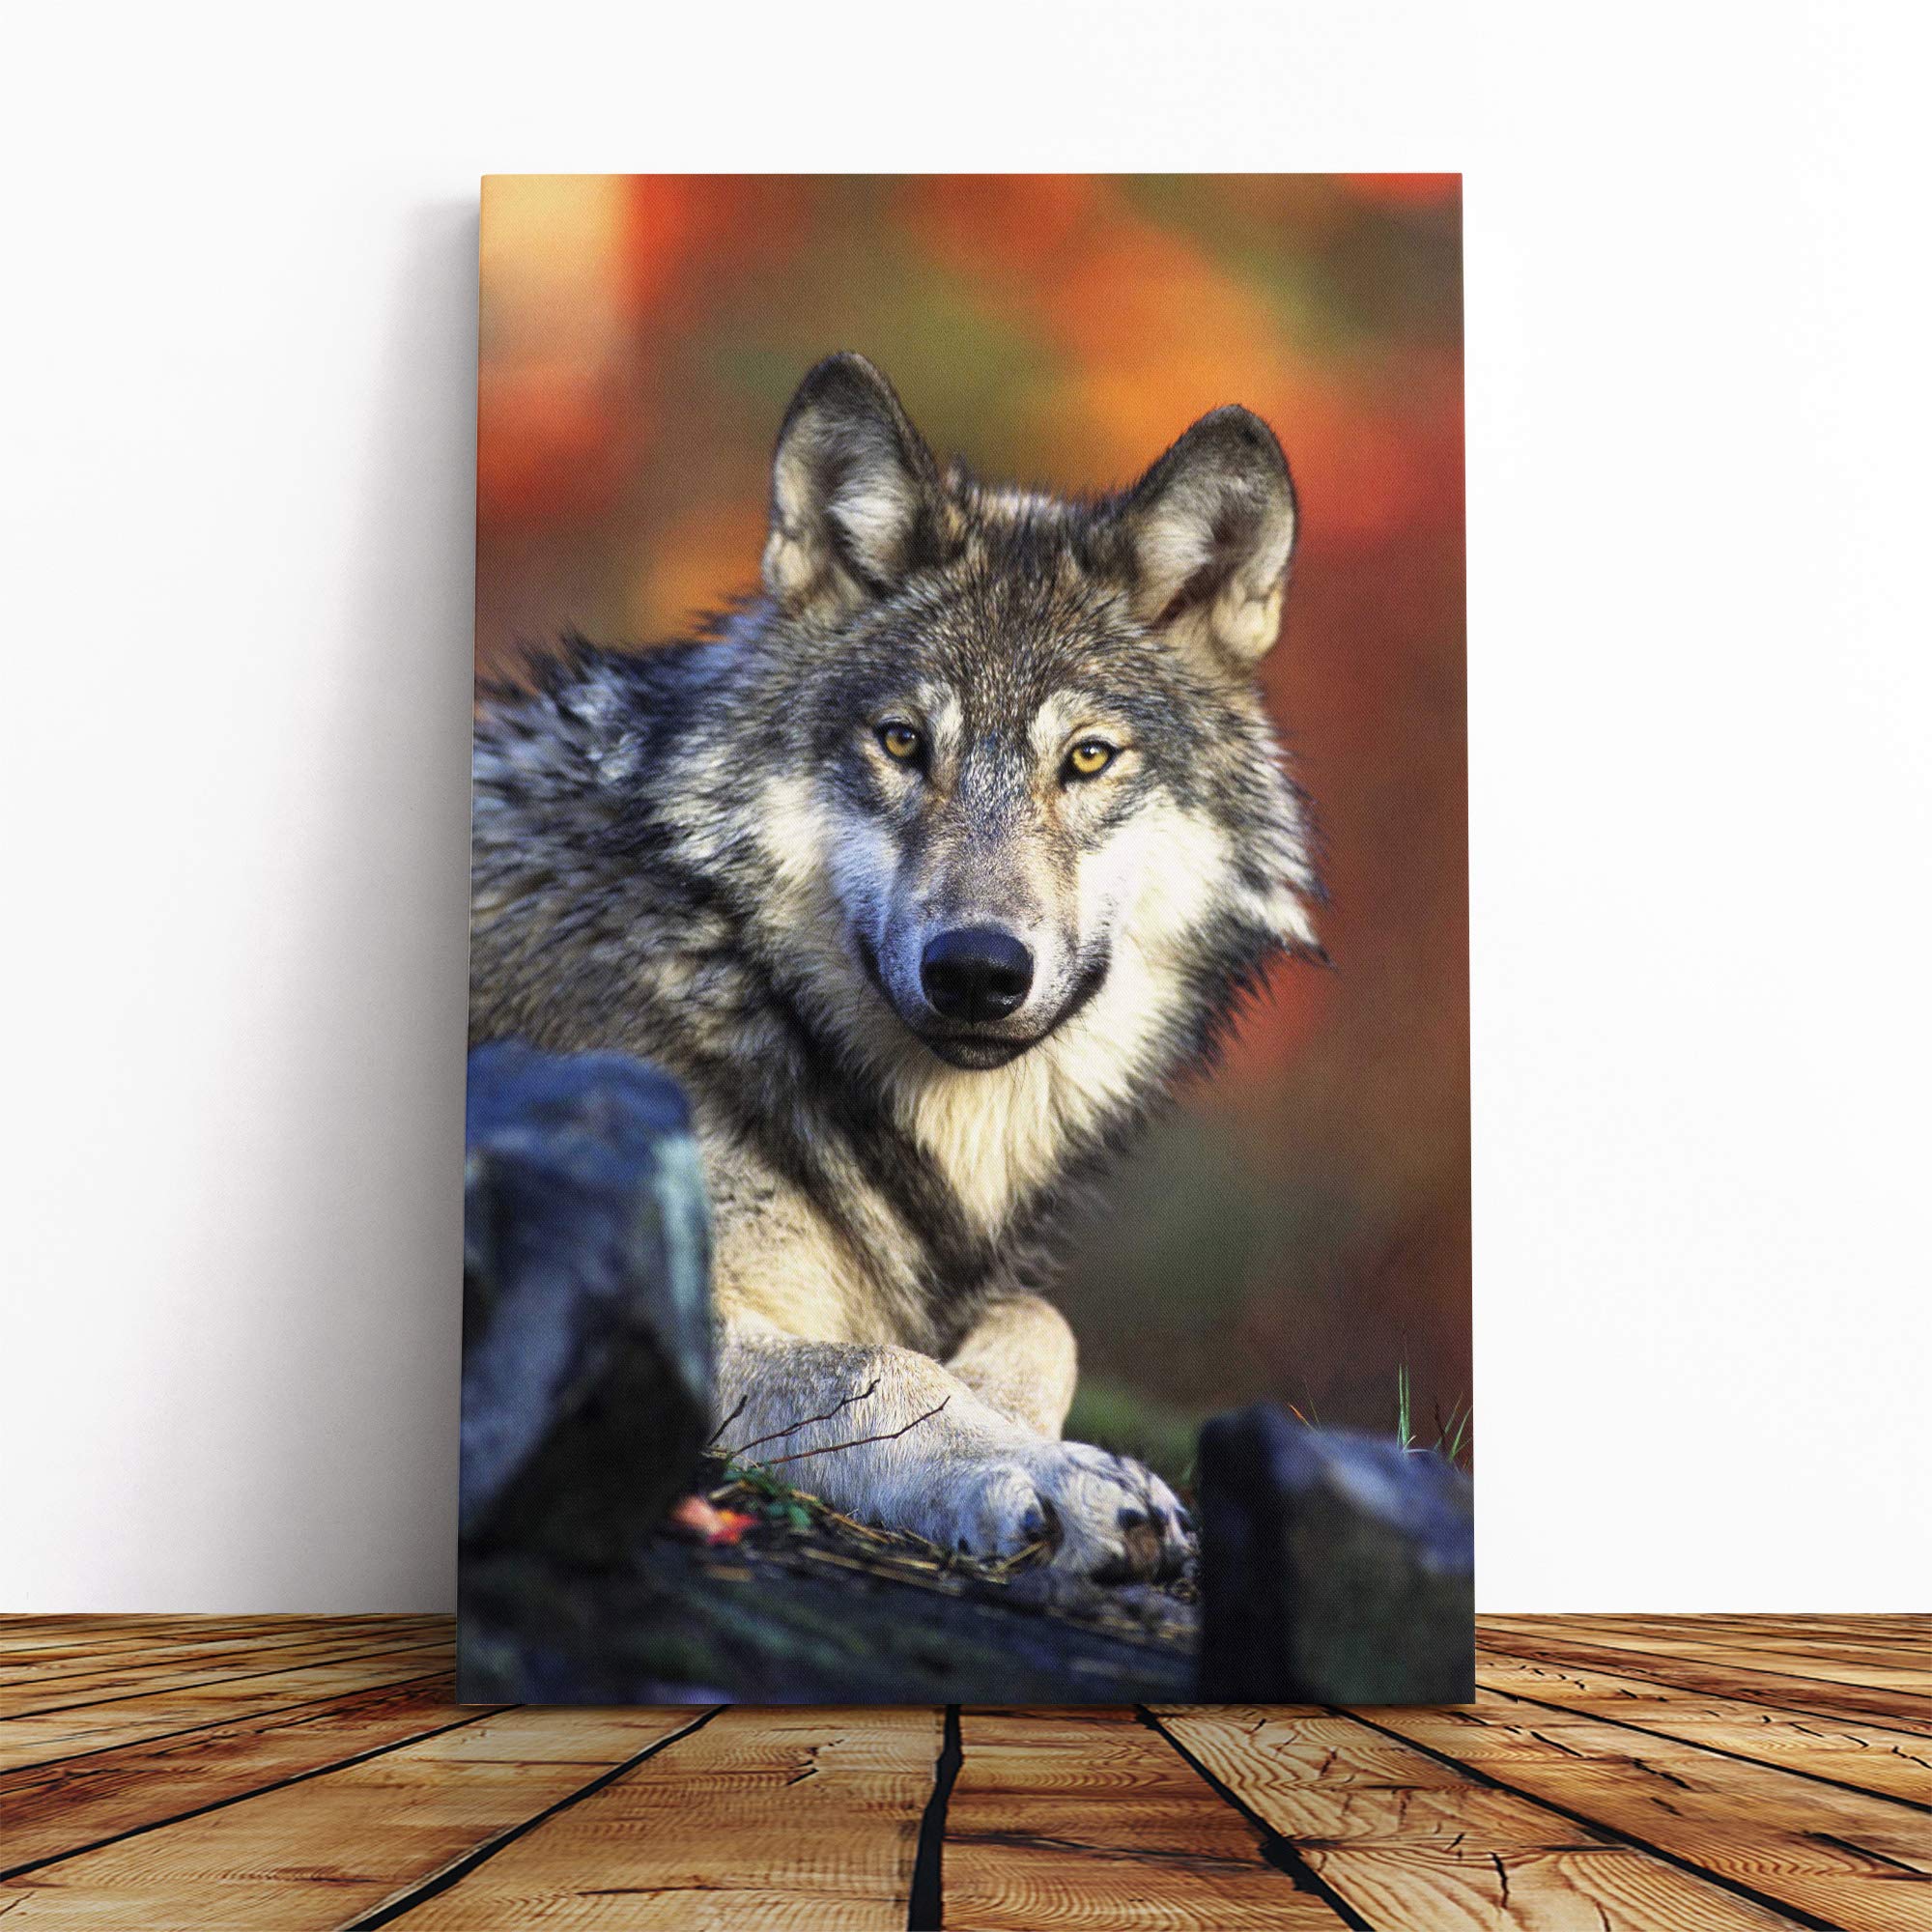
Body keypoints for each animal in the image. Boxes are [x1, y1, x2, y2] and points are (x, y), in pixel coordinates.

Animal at [469, 353, 1322, 1582]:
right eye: (903, 742)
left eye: (1087, 758)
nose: (975, 969)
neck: (734, 975)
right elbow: (880, 1365)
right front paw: (1050, 1473)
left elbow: (1040, 1322)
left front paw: (1027, 1435)